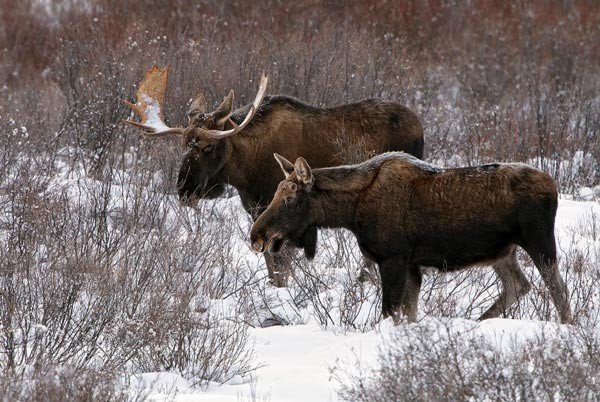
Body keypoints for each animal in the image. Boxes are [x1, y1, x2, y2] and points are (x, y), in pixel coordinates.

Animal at [124, 66, 424, 286]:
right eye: (183, 144)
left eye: (208, 146)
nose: (185, 190)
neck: (244, 171)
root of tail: (420, 126)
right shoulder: (257, 212)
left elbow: (281, 268)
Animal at [251, 151, 576, 324]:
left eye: (290, 199)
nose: (257, 235)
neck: (351, 211)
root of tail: (554, 185)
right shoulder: (411, 264)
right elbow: (408, 312)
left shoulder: (393, 259)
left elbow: (389, 312)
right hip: (502, 252)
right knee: (519, 285)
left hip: (539, 242)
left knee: (558, 289)